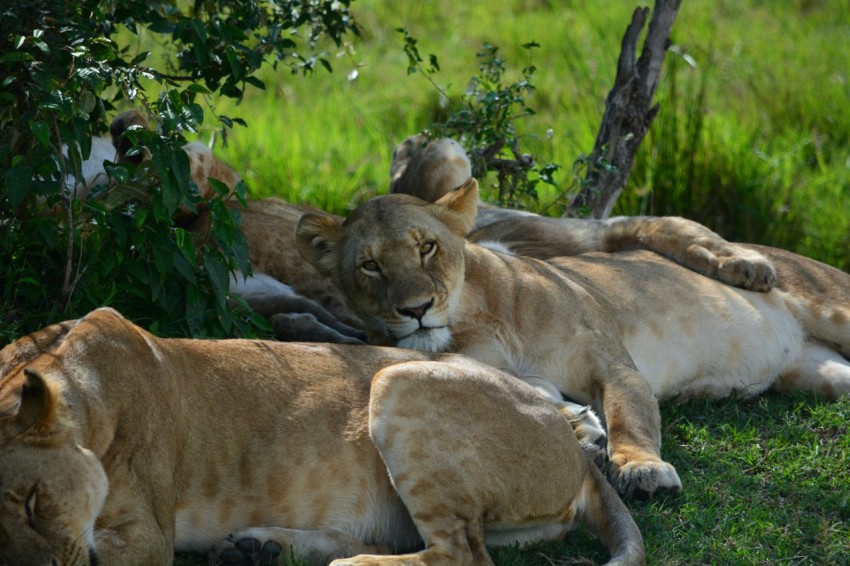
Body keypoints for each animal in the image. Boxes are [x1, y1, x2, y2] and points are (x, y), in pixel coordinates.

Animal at [0, 307, 644, 566]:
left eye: (32, 503)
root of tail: (575, 444)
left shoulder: (149, 537)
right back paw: (257, 547)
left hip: (399, 379)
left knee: (463, 554)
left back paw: (341, 564)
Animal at [295, 178, 850, 500]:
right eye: (370, 265)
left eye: (426, 247)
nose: (415, 310)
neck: (480, 319)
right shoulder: (514, 376)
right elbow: (536, 399)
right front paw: (581, 427)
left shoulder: (614, 365)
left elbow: (631, 417)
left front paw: (641, 468)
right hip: (821, 373)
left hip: (832, 304)